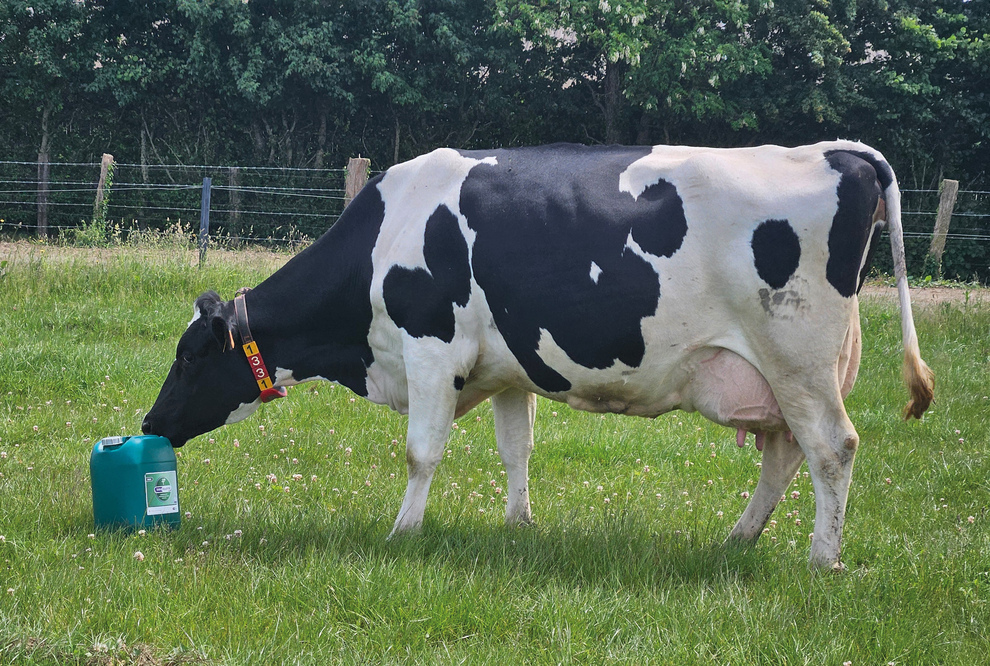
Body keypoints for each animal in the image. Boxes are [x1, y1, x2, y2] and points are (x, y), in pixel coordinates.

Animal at [143, 141, 933, 569]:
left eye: (188, 358)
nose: (150, 426)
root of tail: (841, 151)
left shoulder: (431, 351)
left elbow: (421, 453)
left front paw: (402, 532)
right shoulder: (507, 367)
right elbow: (516, 447)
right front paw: (519, 527)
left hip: (798, 359)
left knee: (832, 448)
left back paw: (822, 558)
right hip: (782, 375)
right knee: (784, 455)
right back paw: (737, 539)